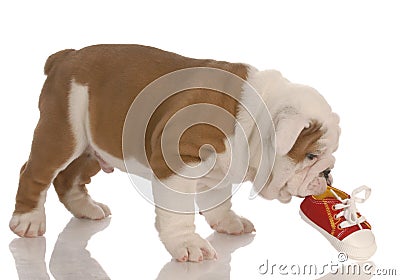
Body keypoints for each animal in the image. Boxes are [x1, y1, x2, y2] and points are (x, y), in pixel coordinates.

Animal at [9, 44, 340, 262]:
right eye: (311, 156)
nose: (327, 172)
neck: (255, 115)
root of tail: (67, 56)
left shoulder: (220, 170)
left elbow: (218, 200)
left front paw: (228, 223)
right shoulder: (179, 160)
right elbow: (179, 212)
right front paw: (188, 244)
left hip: (93, 147)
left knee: (69, 179)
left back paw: (86, 209)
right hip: (63, 132)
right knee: (34, 172)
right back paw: (28, 221)